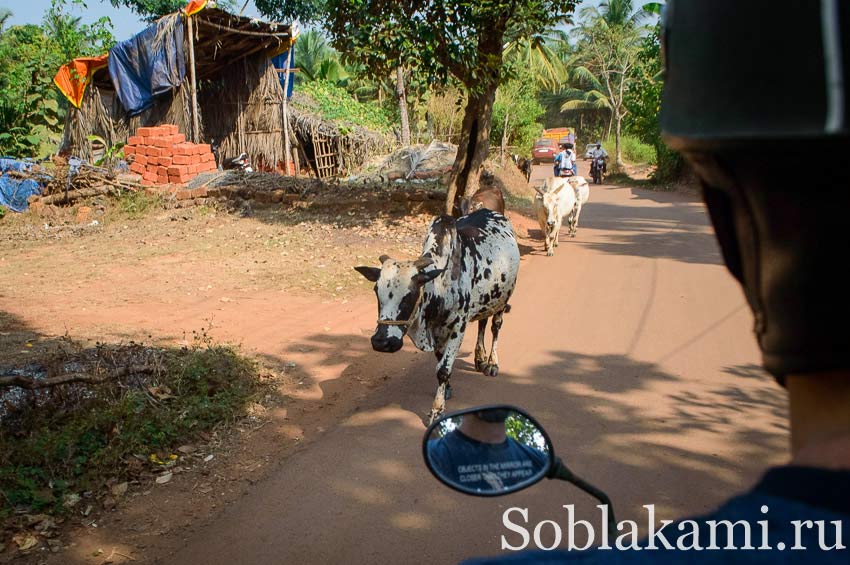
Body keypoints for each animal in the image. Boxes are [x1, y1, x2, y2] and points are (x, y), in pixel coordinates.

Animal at [352, 209, 516, 420]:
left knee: (495, 327)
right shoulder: (437, 332)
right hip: (487, 300)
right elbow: (440, 362)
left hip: (503, 301)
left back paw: (492, 363)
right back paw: (479, 359)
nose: (382, 342)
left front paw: (437, 410)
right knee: (482, 323)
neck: (441, 285)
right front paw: (447, 390)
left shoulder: (458, 328)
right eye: (375, 290)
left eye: (411, 293)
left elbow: (443, 370)